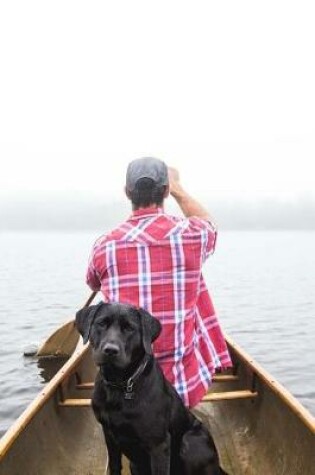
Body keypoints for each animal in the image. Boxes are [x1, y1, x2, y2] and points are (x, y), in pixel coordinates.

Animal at [76, 304, 230, 475]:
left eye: (129, 328)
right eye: (102, 323)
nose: (110, 350)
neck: (121, 384)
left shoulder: (158, 444)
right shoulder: (109, 434)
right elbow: (114, 466)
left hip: (192, 441)